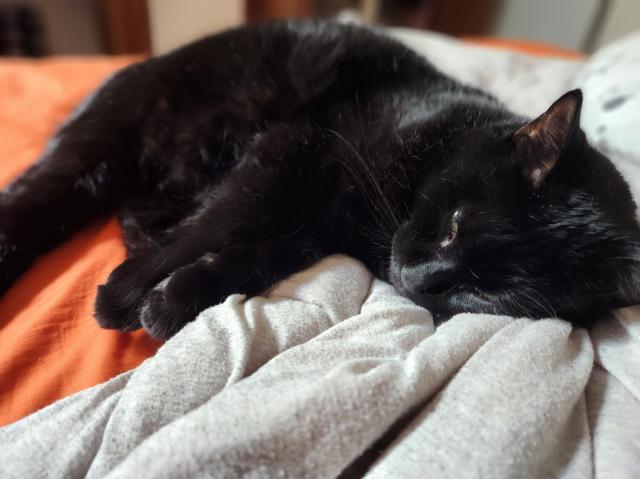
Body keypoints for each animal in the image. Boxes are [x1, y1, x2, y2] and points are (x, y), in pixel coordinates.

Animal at [1, 20, 640, 340]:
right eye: (456, 223)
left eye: (489, 295)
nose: (416, 275)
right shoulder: (293, 147)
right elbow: (228, 219)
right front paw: (125, 294)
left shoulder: (313, 225)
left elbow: (252, 255)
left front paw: (173, 299)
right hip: (100, 147)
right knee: (33, 204)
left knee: (144, 206)